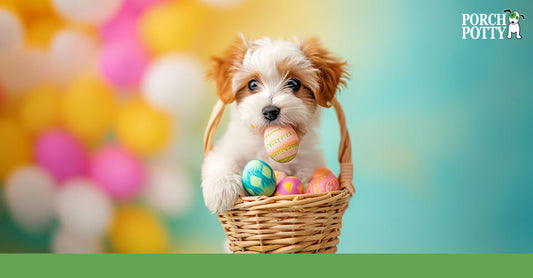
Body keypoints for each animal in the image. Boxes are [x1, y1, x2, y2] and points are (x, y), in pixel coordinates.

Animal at [202, 35, 348, 214]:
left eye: (294, 83)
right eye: (252, 84)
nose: (270, 111)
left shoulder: (310, 160)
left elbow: (307, 174)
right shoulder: (230, 147)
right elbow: (222, 160)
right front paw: (221, 189)